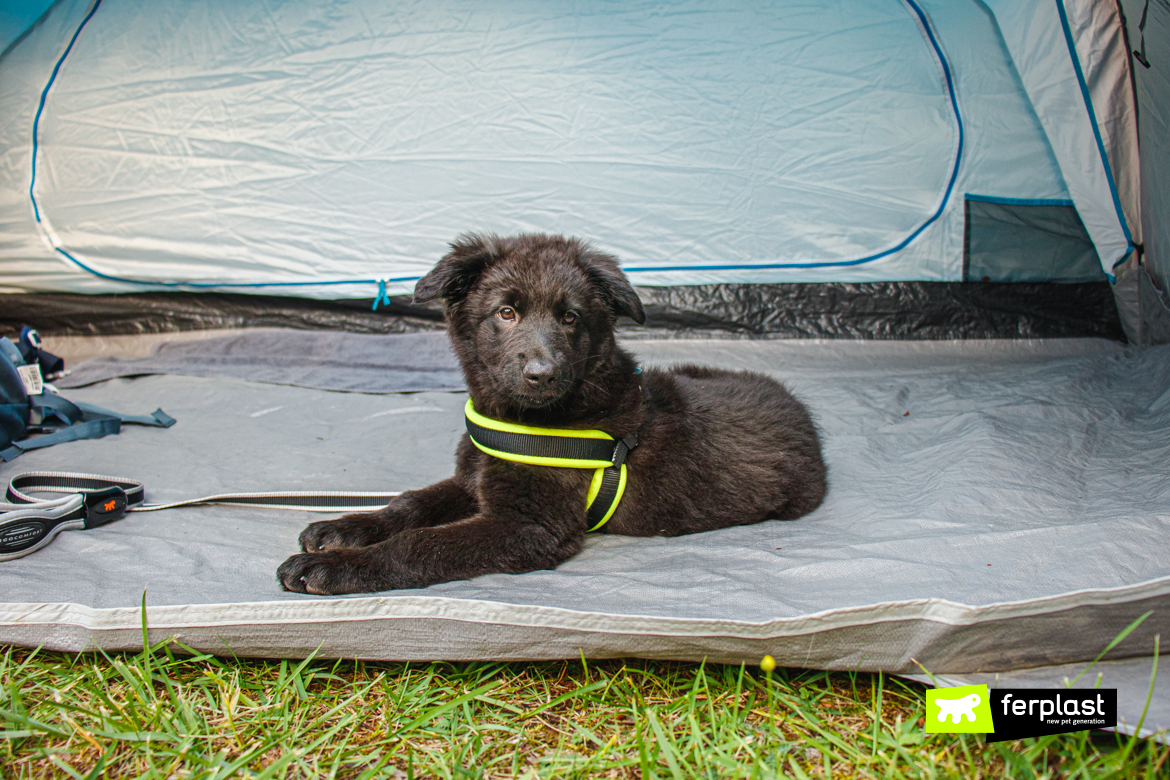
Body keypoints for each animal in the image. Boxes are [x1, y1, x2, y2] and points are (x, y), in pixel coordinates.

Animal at [278, 235, 828, 594]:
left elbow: (420, 544)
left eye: (570, 317)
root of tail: (799, 406)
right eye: (506, 312)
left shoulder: (531, 526)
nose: (541, 374)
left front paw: (340, 566)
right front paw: (345, 527)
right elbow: (411, 504)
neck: (519, 420)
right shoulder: (473, 479)